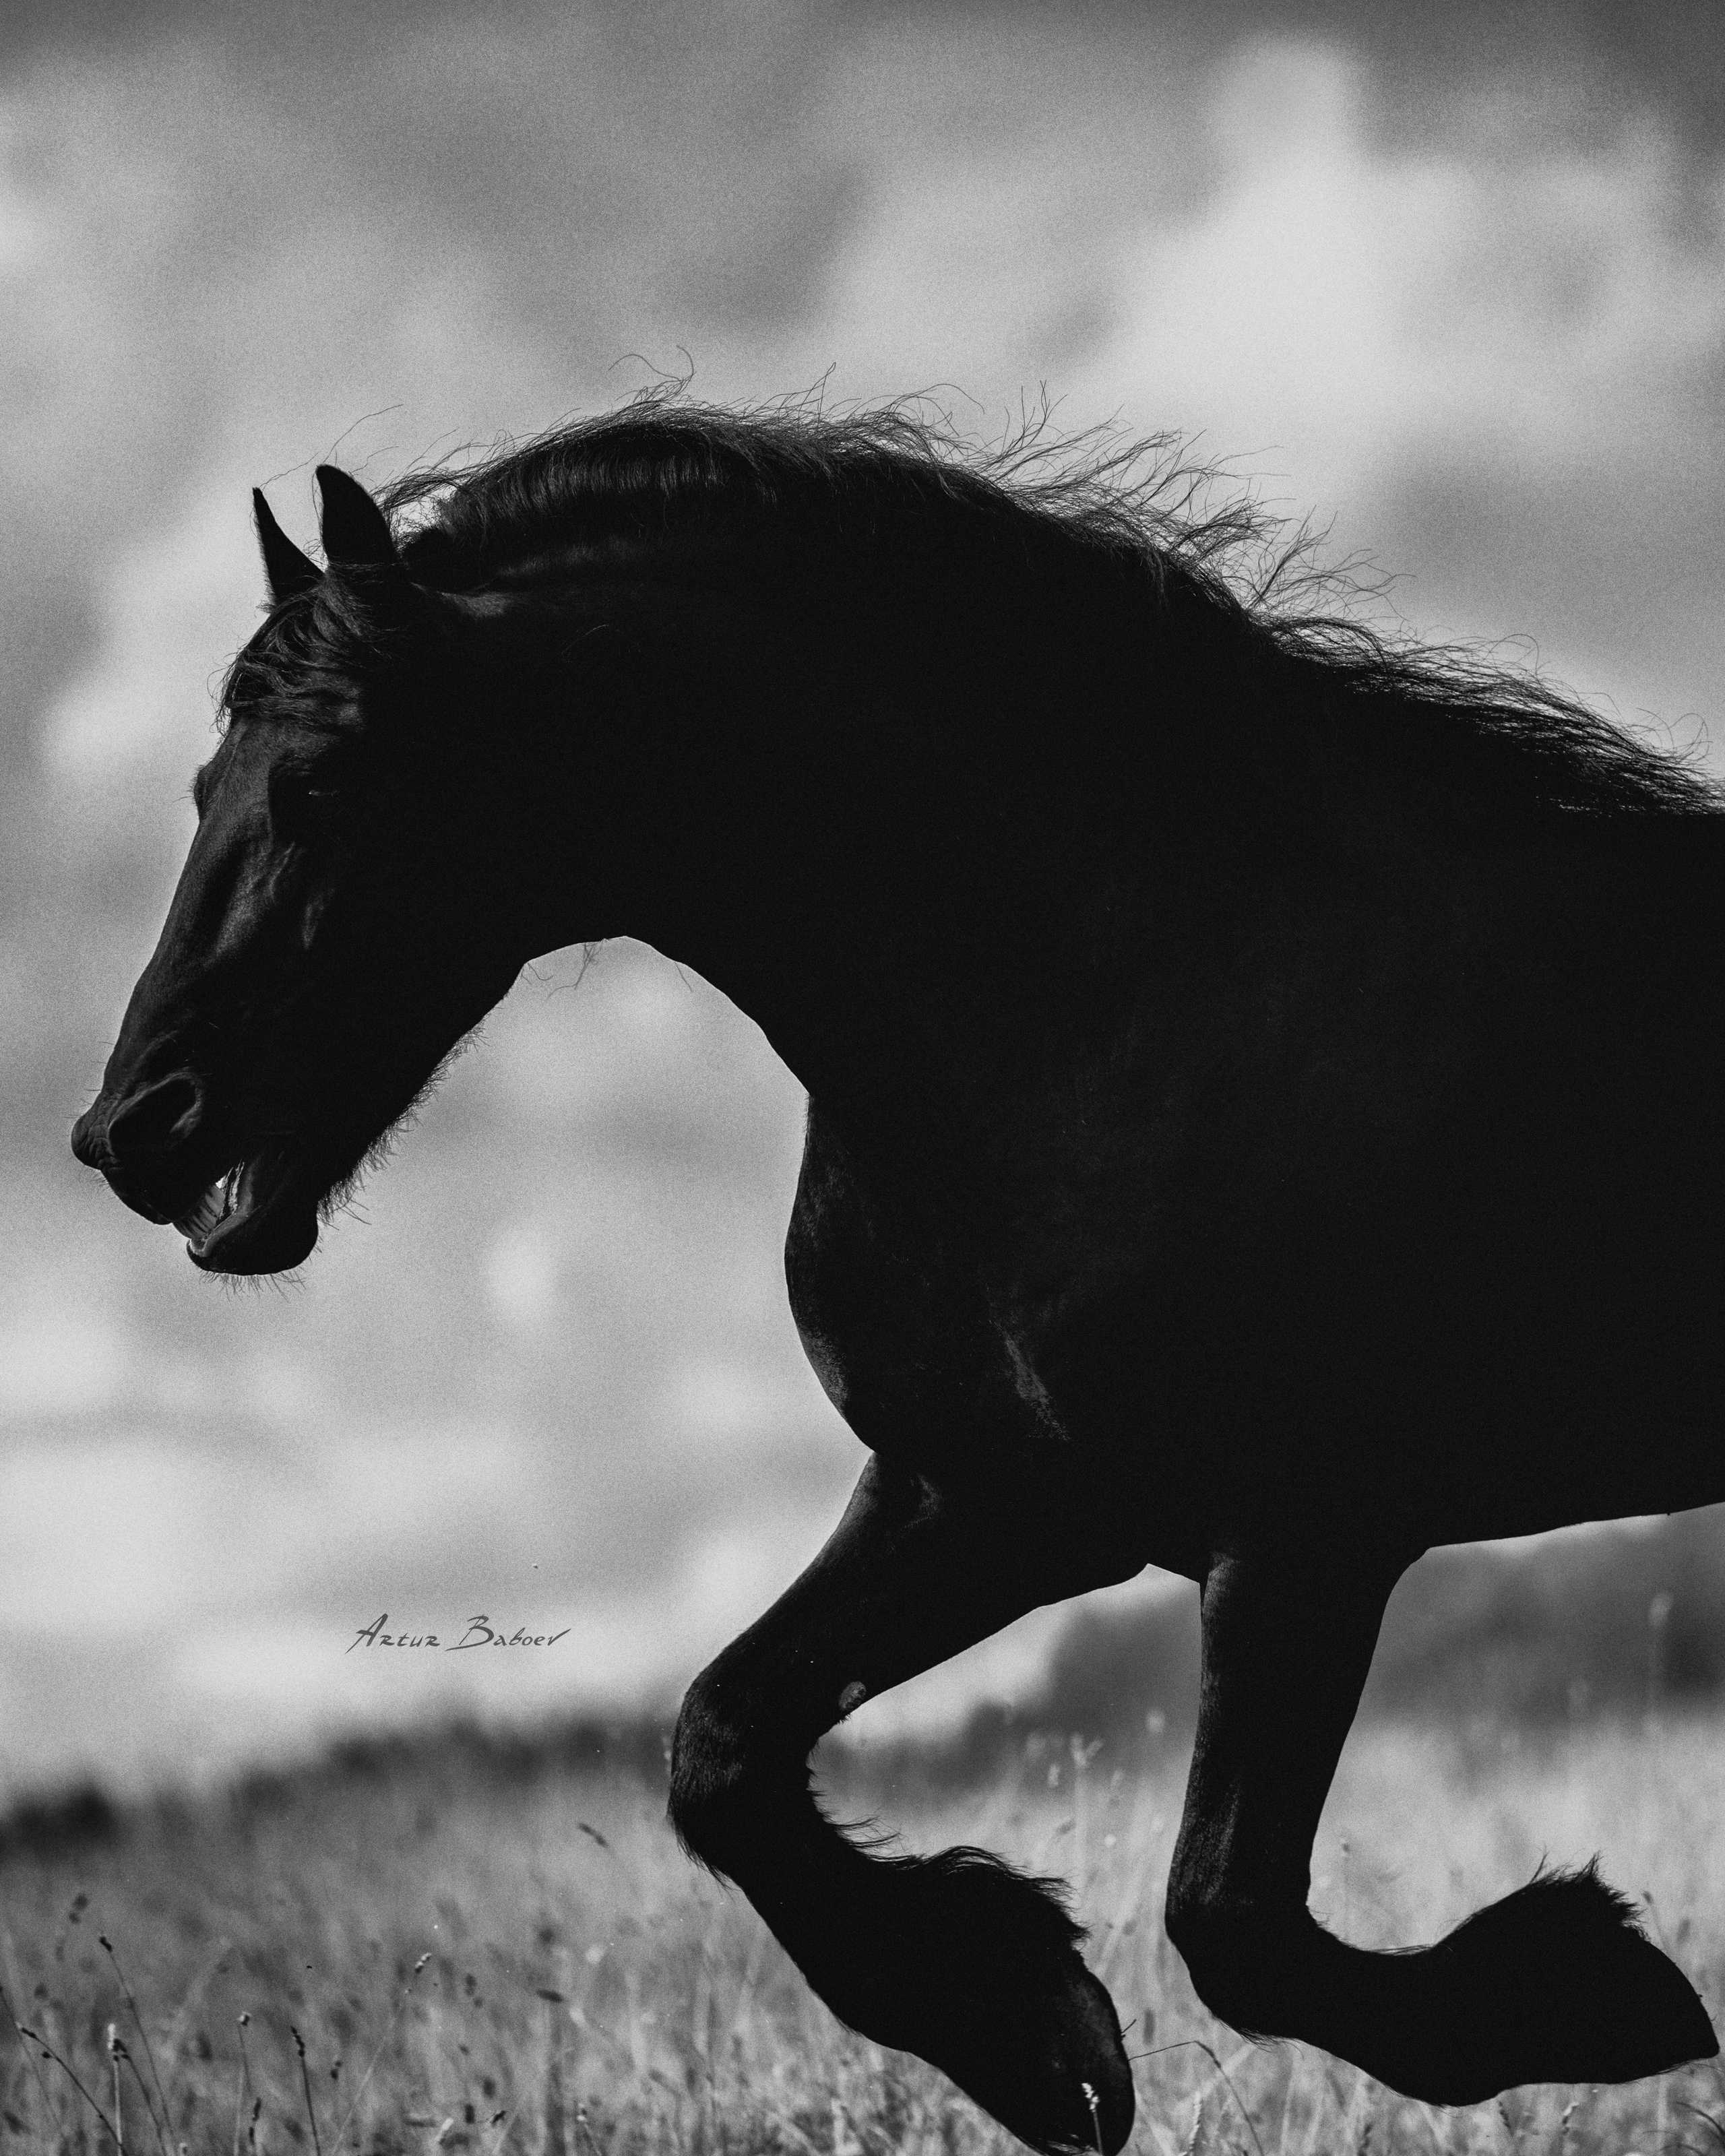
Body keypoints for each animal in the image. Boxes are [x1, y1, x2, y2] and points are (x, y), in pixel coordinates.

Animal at [70, 397, 1724, 2153]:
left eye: (325, 778)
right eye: (203, 782)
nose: (134, 1131)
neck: (1114, 990)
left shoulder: (1304, 1528)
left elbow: (1230, 1920)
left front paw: (1597, 1989)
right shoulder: (992, 1500)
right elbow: (721, 1751)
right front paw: (1027, 2024)